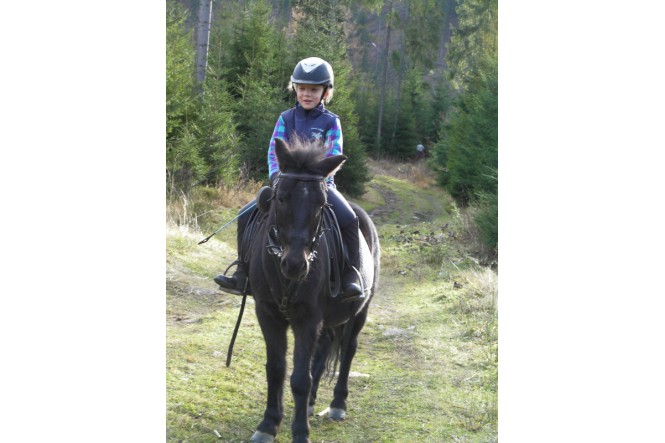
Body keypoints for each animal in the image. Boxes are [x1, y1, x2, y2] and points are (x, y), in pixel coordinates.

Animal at [240, 137, 380, 443]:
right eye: (281, 198)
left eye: (321, 204)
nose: (295, 264)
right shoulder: (268, 314)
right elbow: (277, 370)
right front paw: (268, 424)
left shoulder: (308, 320)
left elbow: (300, 378)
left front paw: (300, 431)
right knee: (322, 352)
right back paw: (313, 403)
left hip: (359, 313)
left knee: (348, 350)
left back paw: (337, 404)